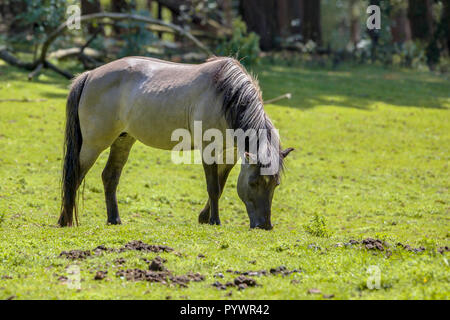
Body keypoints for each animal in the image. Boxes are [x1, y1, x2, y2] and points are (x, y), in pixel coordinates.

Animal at [58, 55, 294, 230]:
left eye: (275, 184)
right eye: (254, 183)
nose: (265, 226)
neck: (226, 98)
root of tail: (90, 75)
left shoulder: (231, 154)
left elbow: (220, 185)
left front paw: (204, 217)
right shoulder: (208, 149)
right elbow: (213, 187)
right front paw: (214, 221)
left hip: (123, 140)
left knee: (109, 177)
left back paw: (114, 220)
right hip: (94, 144)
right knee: (75, 175)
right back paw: (65, 220)